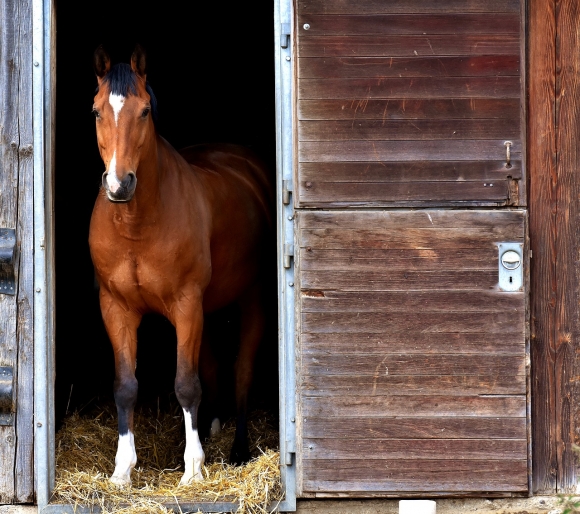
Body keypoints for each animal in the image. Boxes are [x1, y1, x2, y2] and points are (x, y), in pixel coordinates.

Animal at [88, 45, 274, 484]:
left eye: (144, 111)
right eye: (96, 111)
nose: (119, 185)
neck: (137, 224)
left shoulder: (186, 305)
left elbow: (187, 384)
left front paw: (193, 469)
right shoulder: (116, 308)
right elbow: (126, 385)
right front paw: (122, 469)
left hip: (251, 299)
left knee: (242, 371)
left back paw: (238, 450)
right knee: (214, 367)